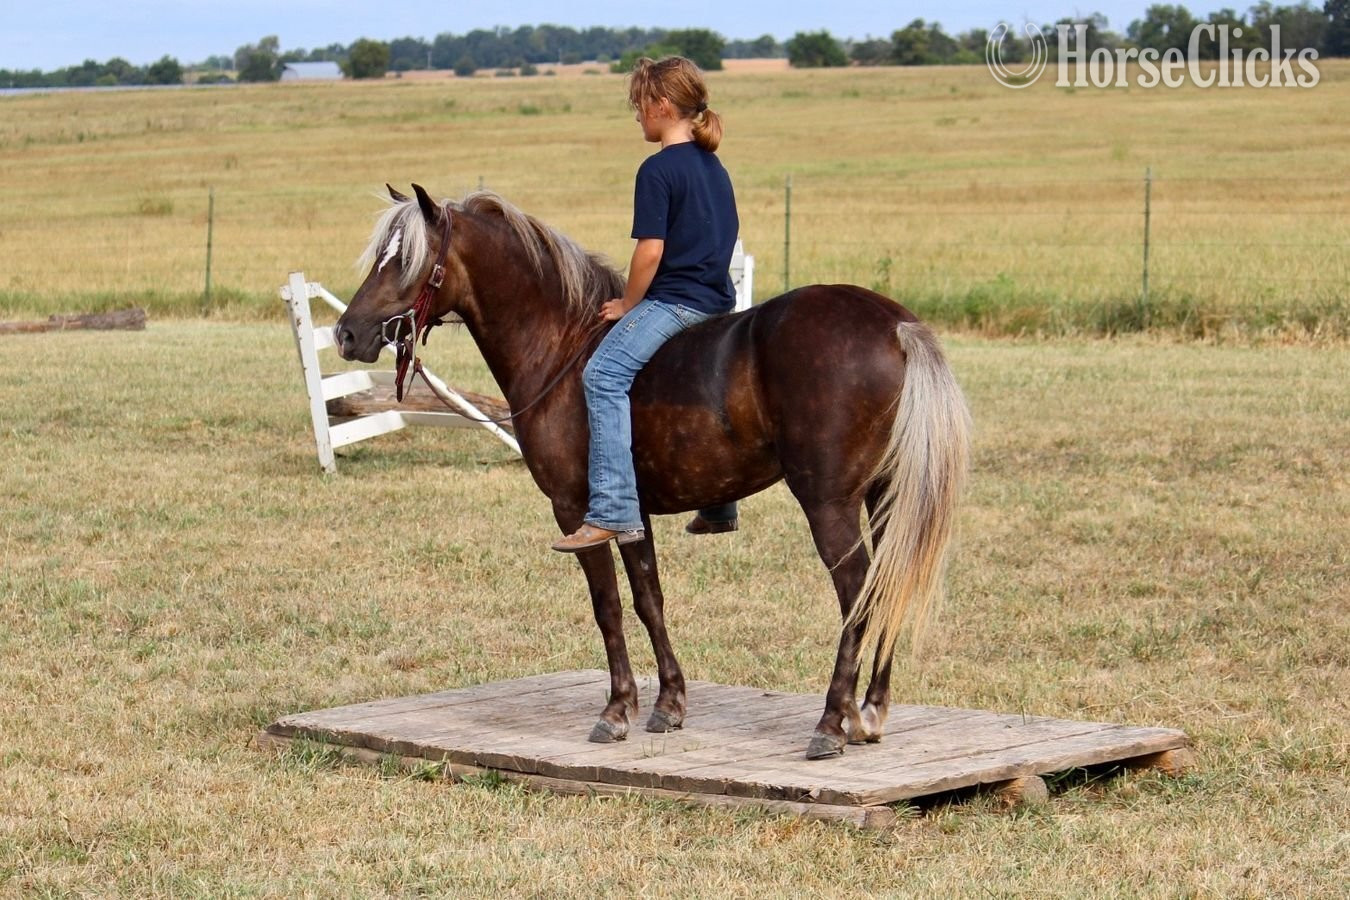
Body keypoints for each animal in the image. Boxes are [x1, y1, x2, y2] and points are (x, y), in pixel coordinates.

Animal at [334, 184, 971, 760]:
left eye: (405, 261)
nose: (346, 333)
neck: (562, 342)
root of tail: (894, 326)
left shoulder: (574, 510)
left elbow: (608, 606)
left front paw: (617, 710)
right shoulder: (632, 511)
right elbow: (648, 599)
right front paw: (668, 704)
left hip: (829, 503)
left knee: (858, 591)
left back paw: (833, 722)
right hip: (883, 497)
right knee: (887, 584)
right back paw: (871, 712)